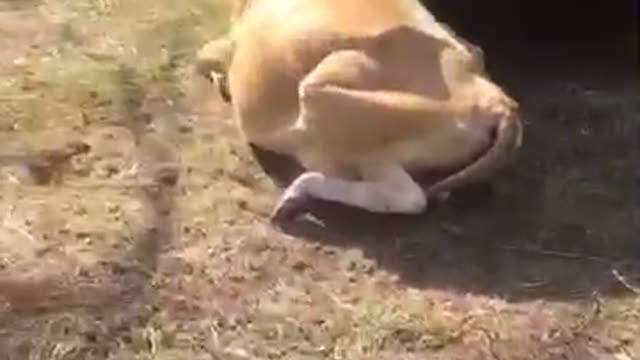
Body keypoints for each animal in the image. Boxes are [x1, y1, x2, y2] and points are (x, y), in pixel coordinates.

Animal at [198, 0, 524, 224]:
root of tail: (498, 102)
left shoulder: (224, 45)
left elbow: (202, 60)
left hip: (326, 100)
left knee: (408, 197)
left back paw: (296, 195)